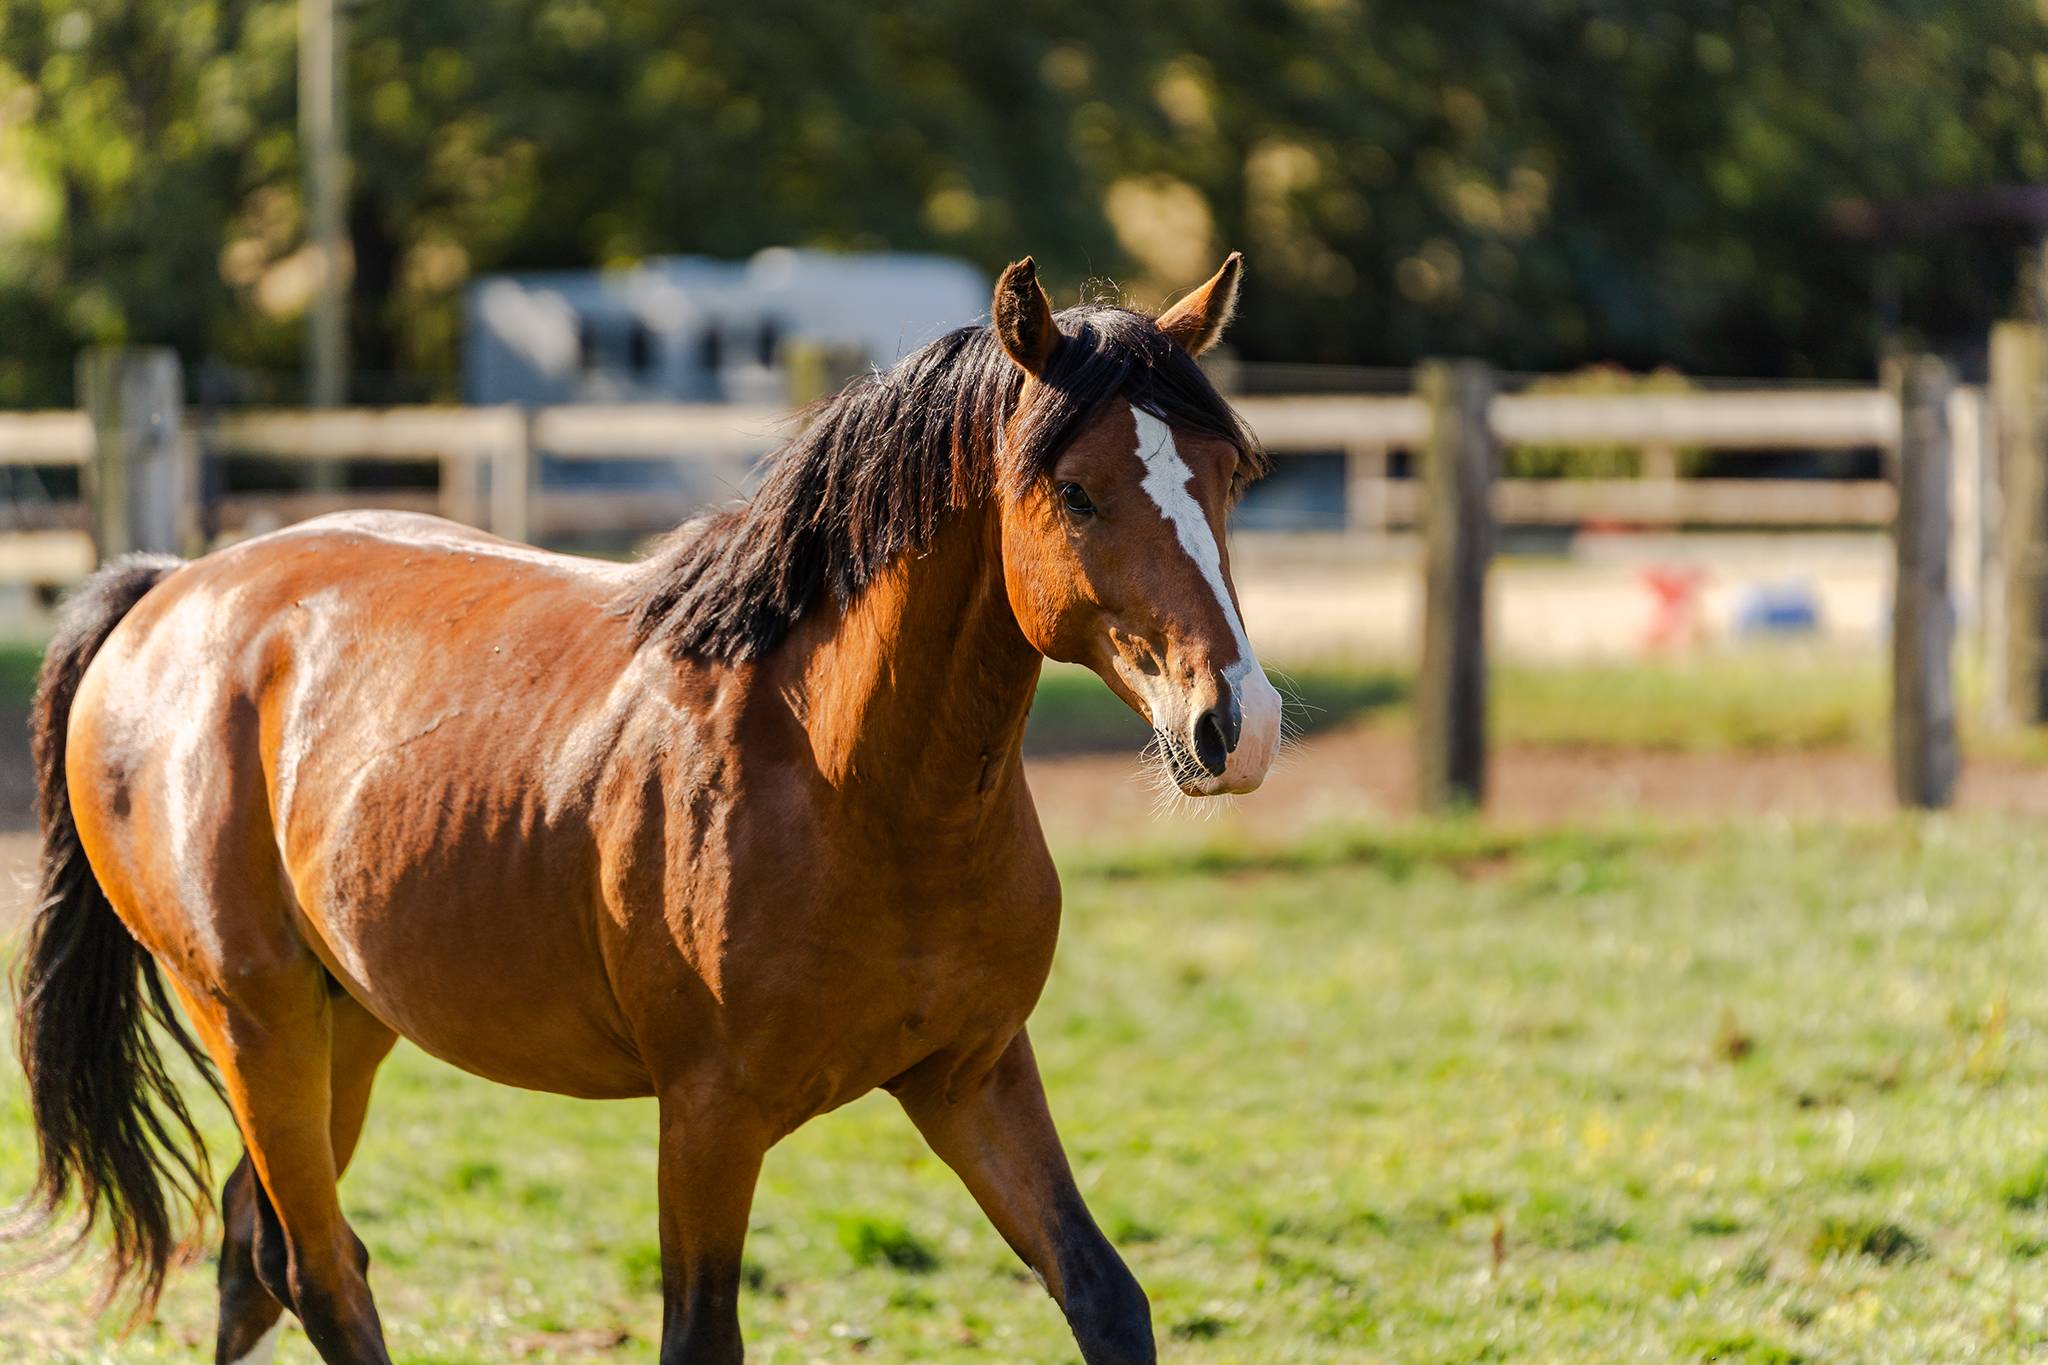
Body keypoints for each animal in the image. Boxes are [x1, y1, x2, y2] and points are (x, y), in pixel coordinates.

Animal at [8, 255, 1277, 1365]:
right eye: (1075, 490)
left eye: (1226, 476)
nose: (1236, 724)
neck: (850, 787)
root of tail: (168, 589)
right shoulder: (708, 1117)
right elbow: (699, 1336)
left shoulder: (971, 1076)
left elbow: (1105, 1297)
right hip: (253, 1019)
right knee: (317, 1269)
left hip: (346, 1024)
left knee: (256, 1252)